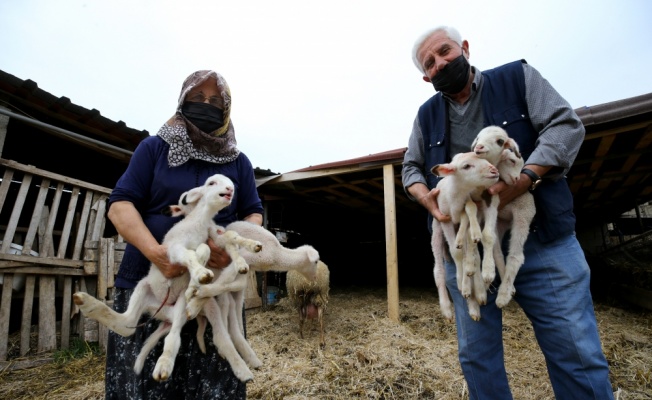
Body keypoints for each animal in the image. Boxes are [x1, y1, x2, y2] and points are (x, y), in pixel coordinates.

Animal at [430, 152, 502, 320]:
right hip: (436, 230)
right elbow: (456, 252)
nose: (494, 170)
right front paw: (460, 281)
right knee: (439, 270)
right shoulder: (446, 219)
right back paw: (448, 308)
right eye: (466, 166)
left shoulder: (467, 214)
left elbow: (471, 251)